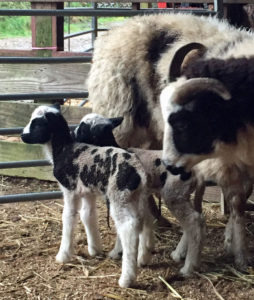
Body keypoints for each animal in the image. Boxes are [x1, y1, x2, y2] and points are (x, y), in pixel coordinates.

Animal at [20, 104, 153, 288]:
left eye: (37, 123)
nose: (22, 136)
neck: (62, 149)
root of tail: (138, 172)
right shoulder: (87, 191)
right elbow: (87, 215)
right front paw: (94, 249)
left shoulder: (69, 189)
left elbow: (68, 217)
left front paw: (63, 255)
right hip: (137, 197)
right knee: (145, 220)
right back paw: (144, 258)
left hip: (119, 197)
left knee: (129, 227)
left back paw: (127, 278)